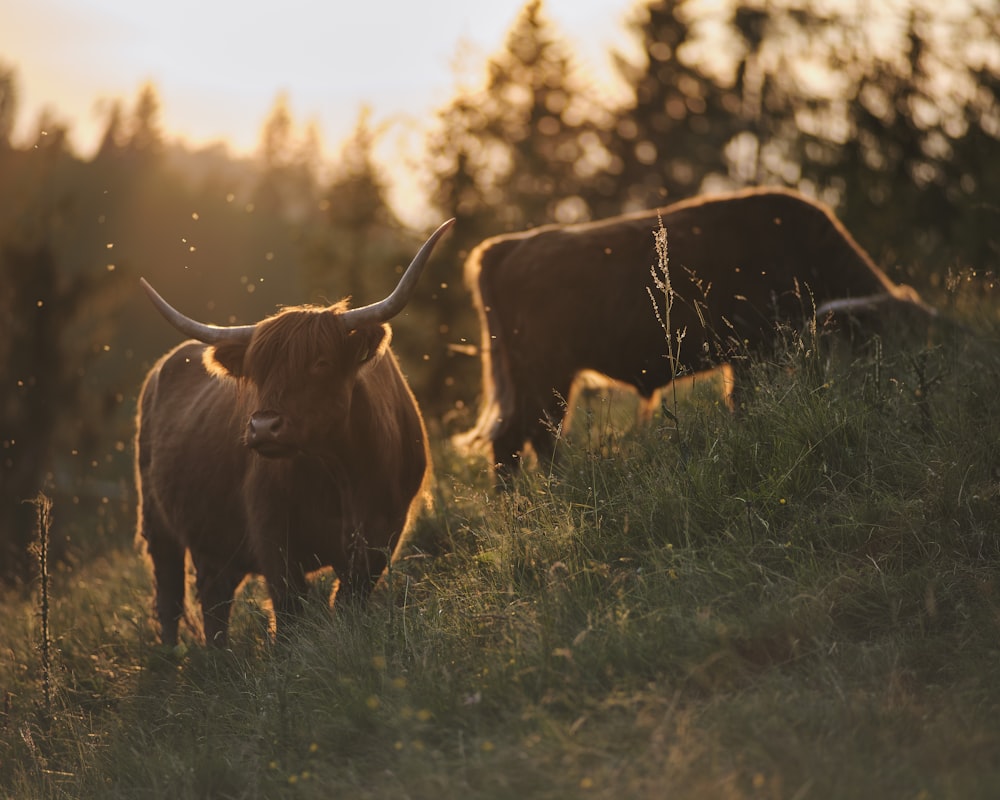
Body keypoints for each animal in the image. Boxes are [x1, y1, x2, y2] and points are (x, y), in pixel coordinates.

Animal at [136, 220, 454, 648]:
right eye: (258, 370)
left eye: (320, 362)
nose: (263, 427)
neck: (339, 472)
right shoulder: (273, 537)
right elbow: (289, 609)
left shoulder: (381, 534)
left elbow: (349, 599)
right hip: (158, 524)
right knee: (170, 595)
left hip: (212, 540)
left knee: (214, 597)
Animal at [460, 184, 936, 478]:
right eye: (887, 332)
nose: (915, 384)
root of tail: (506, 246)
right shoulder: (753, 353)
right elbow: (743, 402)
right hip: (546, 378)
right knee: (530, 437)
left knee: (519, 441)